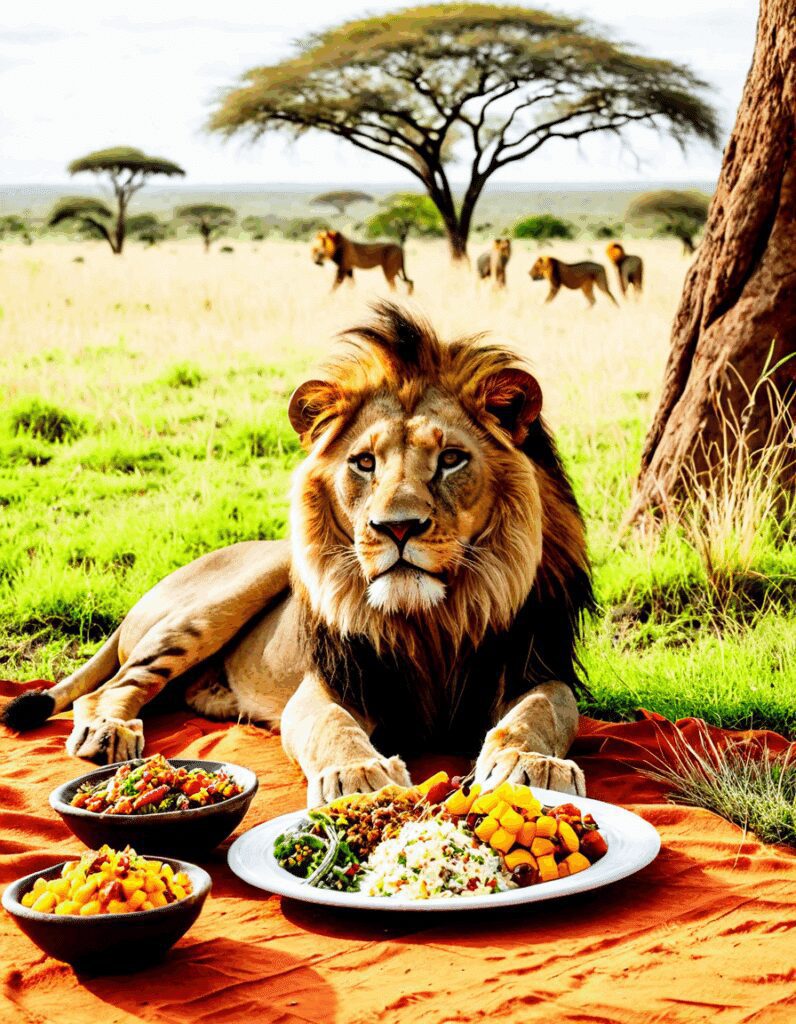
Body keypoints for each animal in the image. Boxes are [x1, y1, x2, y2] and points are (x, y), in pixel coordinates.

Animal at [3, 303, 593, 806]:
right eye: (364, 463)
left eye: (450, 459)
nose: (397, 527)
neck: (432, 621)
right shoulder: (330, 683)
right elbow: (331, 726)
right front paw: (358, 774)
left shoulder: (535, 666)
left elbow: (539, 711)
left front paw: (531, 764)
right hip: (225, 597)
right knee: (112, 687)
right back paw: (109, 730)